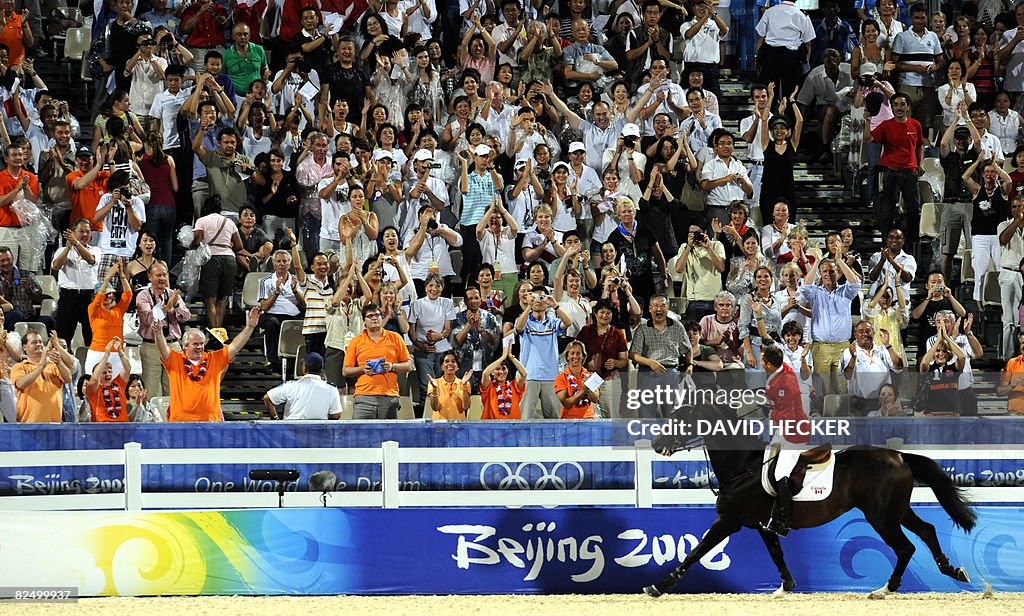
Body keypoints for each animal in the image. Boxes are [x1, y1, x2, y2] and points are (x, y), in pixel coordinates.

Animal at [647, 401, 974, 597]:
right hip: (897, 510)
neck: (744, 466)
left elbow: (695, 553)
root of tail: (900, 456)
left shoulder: (728, 521)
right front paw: (786, 587)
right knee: (927, 531)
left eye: (680, 419)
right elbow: (777, 555)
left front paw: (659, 586)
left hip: (881, 517)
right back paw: (953, 570)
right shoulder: (763, 525)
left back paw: (886, 589)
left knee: (906, 547)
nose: (656, 444)